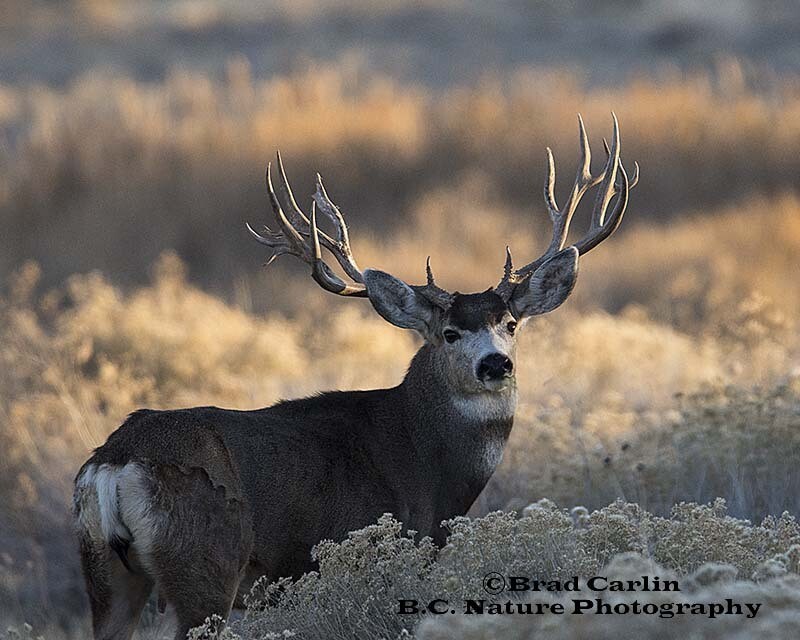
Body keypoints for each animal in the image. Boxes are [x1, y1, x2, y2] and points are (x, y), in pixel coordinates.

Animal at [72, 114, 637, 639]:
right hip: (204, 563)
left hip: (107, 574)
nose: (496, 363)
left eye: (512, 324)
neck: (426, 464)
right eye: (449, 333)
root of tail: (113, 462)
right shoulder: (380, 548)